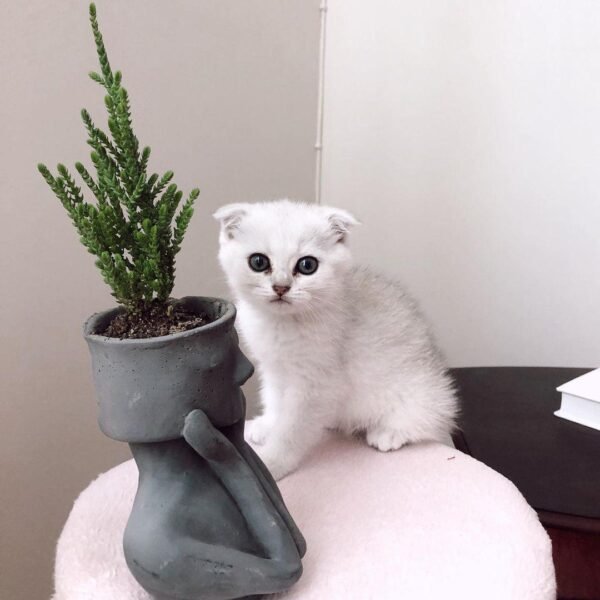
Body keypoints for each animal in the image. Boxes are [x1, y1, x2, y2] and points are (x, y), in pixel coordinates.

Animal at [216, 199, 460, 480]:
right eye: (258, 261)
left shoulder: (316, 385)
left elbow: (292, 429)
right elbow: (276, 402)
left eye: (307, 265)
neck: (284, 322)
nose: (280, 287)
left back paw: (389, 432)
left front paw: (272, 461)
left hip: (418, 390)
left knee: (432, 416)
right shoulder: (275, 369)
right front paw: (268, 425)